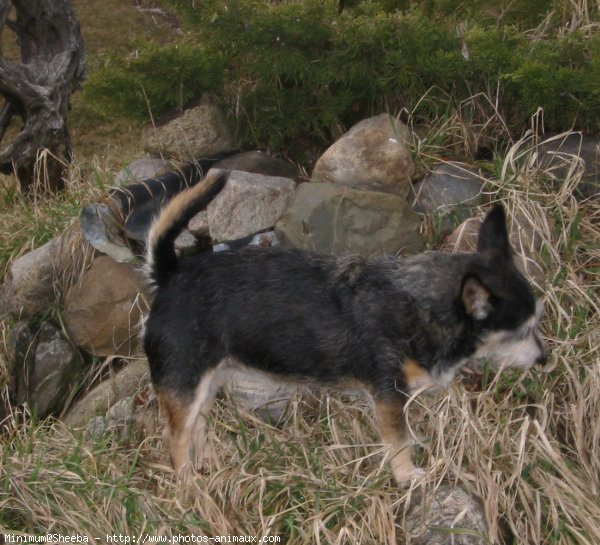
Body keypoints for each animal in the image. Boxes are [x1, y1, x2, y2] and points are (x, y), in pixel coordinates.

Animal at [143, 169, 548, 480]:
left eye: (535, 324)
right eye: (519, 332)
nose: (544, 359)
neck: (415, 301)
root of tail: (170, 274)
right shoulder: (388, 395)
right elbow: (399, 441)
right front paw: (407, 478)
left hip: (205, 386)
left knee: (197, 429)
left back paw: (208, 467)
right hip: (184, 387)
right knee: (176, 442)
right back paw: (189, 490)